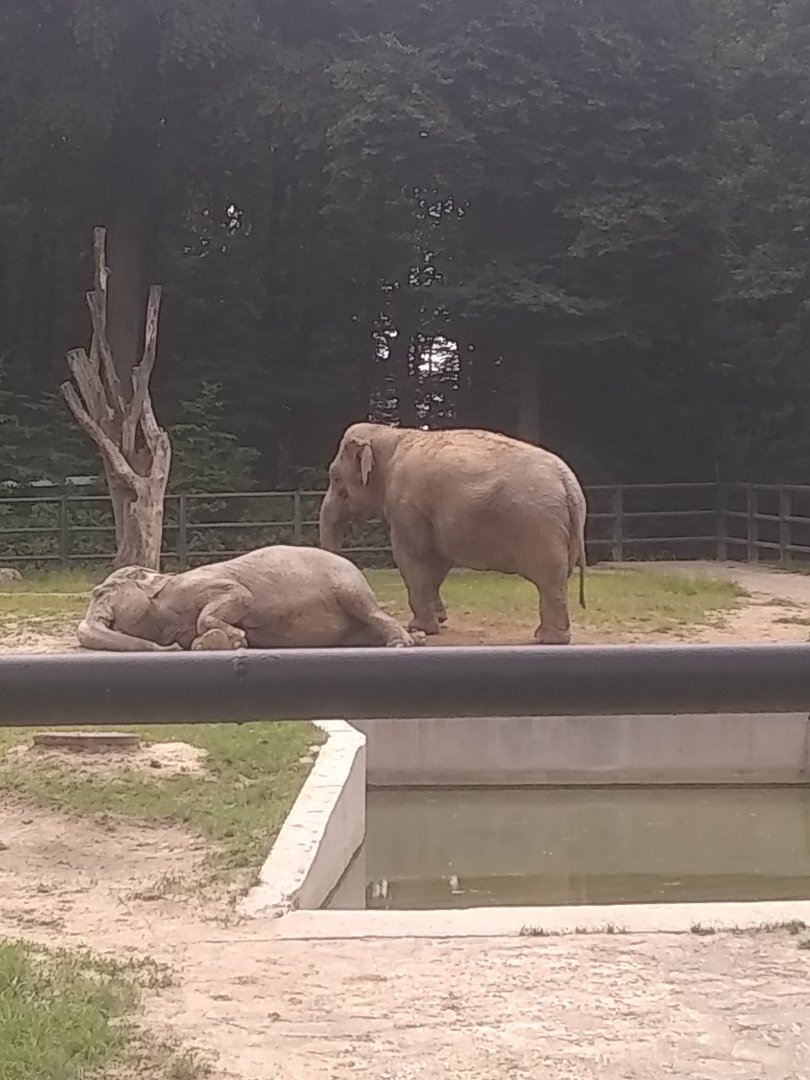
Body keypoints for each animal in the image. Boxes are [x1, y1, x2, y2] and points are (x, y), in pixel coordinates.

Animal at [77, 544, 419, 652]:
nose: (169, 649)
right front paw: (223, 642)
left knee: (367, 609)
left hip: (347, 585)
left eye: (99, 592)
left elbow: (241, 595)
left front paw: (237, 636)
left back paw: (403, 643)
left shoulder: (200, 585)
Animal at [319, 423, 587, 645]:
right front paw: (439, 620)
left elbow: (412, 555)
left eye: (334, 478)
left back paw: (548, 640)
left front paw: (420, 627)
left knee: (548, 579)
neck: (390, 434)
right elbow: (438, 560)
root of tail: (568, 482)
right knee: (557, 581)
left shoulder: (406, 505)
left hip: (538, 526)